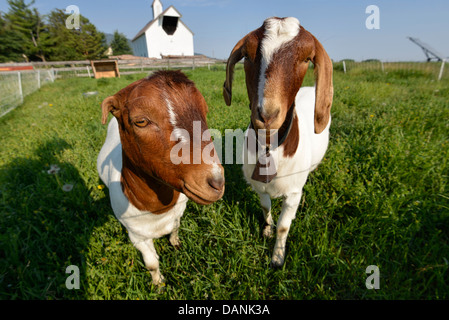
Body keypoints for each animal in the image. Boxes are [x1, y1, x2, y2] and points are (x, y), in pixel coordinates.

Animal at [97, 70, 224, 284]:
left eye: (205, 111)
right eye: (141, 121)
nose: (216, 182)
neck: (157, 210)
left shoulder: (178, 212)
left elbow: (175, 229)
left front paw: (176, 243)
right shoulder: (136, 235)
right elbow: (151, 264)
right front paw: (158, 284)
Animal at [224, 17, 332, 268]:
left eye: (306, 59)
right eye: (247, 55)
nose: (267, 115)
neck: (270, 149)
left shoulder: (293, 194)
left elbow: (284, 226)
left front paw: (277, 257)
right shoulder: (258, 186)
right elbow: (265, 208)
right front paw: (266, 231)